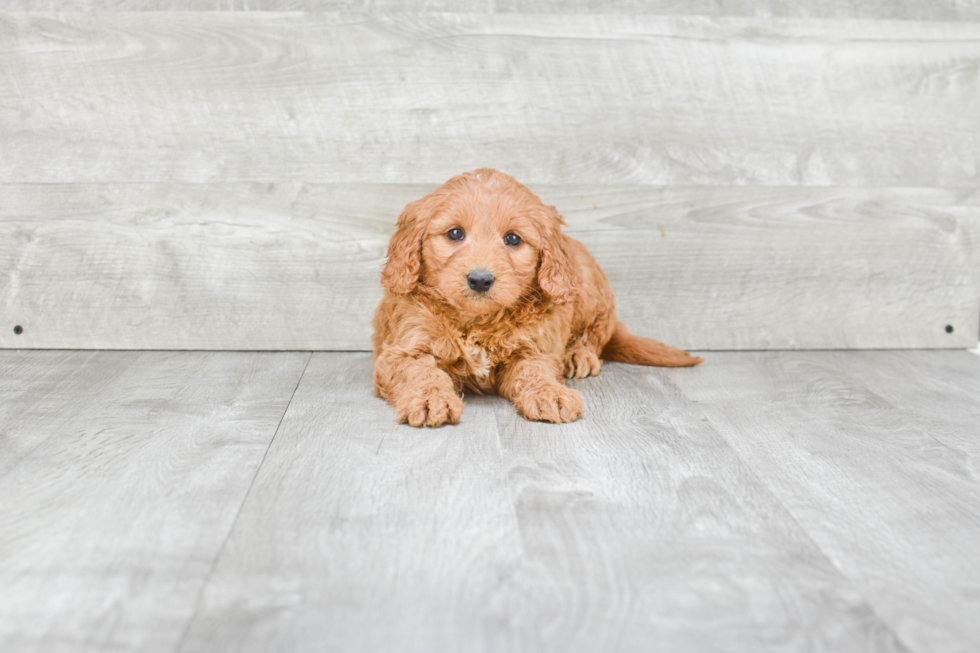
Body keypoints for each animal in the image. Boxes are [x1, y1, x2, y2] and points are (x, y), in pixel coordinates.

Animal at [372, 167, 700, 428]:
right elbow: (419, 371)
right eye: (454, 234)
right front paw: (429, 399)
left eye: (513, 239)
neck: (478, 322)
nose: (480, 279)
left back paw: (578, 355)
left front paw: (550, 394)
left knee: (596, 333)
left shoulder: (535, 349)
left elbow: (535, 371)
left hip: (591, 289)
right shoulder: (404, 347)